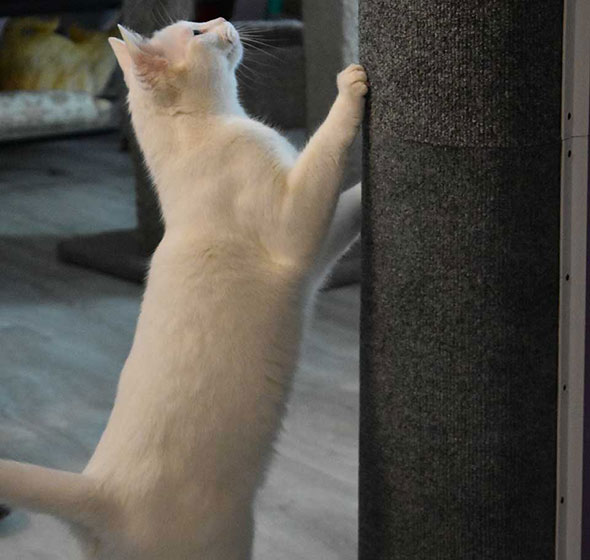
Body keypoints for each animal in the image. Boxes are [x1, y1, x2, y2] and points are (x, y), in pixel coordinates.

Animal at [0, 18, 368, 560]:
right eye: (196, 31)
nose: (224, 22)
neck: (214, 126)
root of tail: (100, 491)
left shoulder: (318, 256)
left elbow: (350, 206)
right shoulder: (298, 232)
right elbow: (327, 149)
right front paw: (350, 84)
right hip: (228, 539)